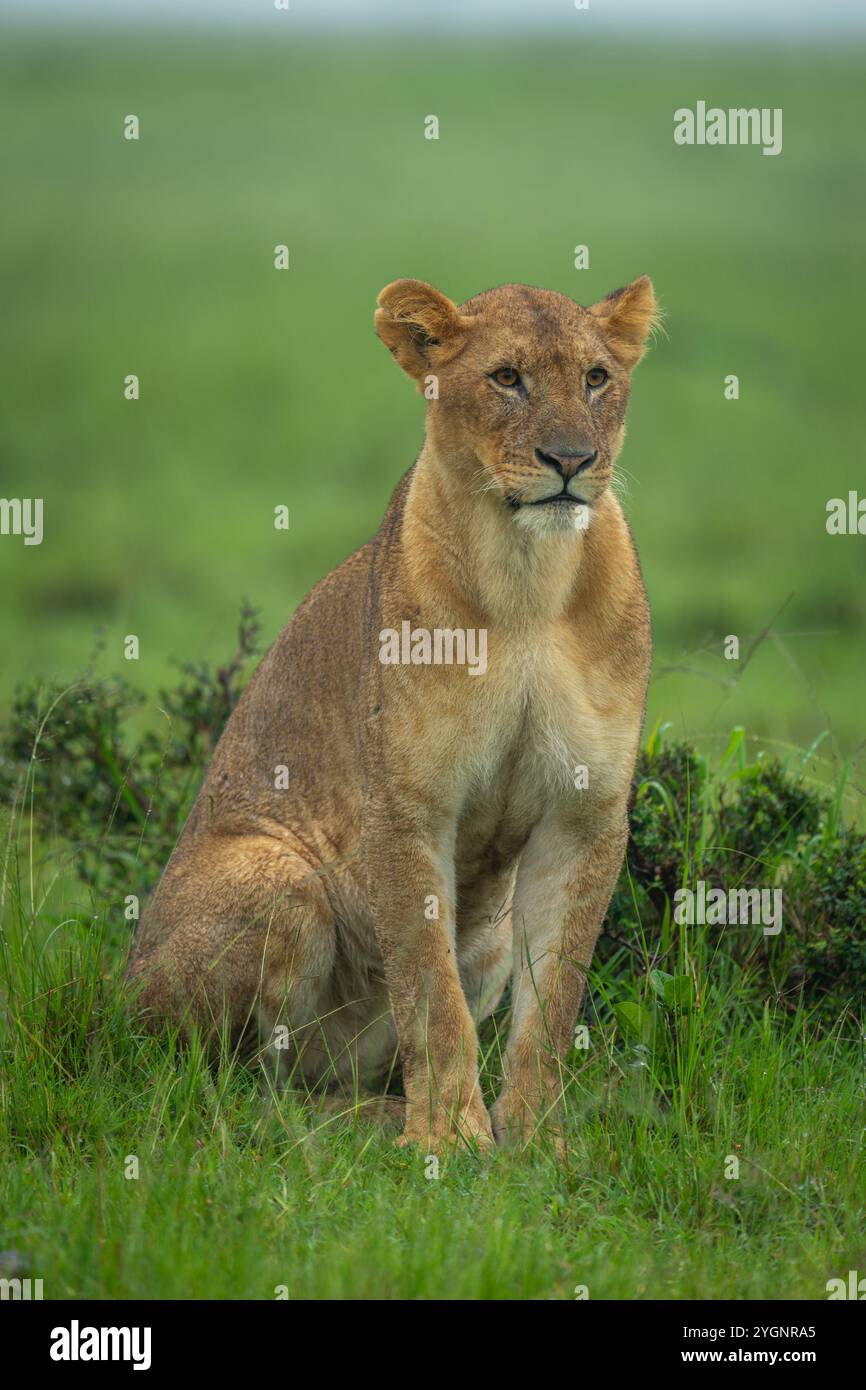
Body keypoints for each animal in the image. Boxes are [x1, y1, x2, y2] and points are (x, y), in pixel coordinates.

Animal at [126, 274, 659, 1152]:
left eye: (595, 378)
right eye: (507, 377)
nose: (572, 461)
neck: (527, 577)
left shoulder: (583, 812)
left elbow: (552, 1001)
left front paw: (536, 1141)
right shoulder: (408, 809)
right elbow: (428, 990)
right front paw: (448, 1139)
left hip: (485, 940)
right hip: (276, 879)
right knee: (234, 1084)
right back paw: (370, 1122)